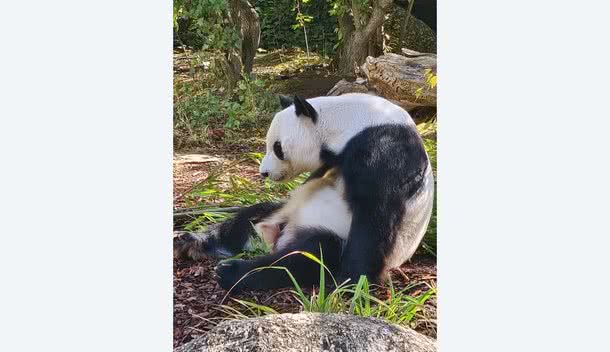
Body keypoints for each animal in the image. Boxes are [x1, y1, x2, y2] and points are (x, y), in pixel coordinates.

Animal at [172, 93, 432, 292]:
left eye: (277, 147)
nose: (264, 173)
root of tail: (279, 239)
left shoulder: (383, 148)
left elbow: (375, 213)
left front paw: (353, 281)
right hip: (280, 214)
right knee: (249, 217)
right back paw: (192, 242)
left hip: (331, 233)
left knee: (310, 255)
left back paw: (233, 272)